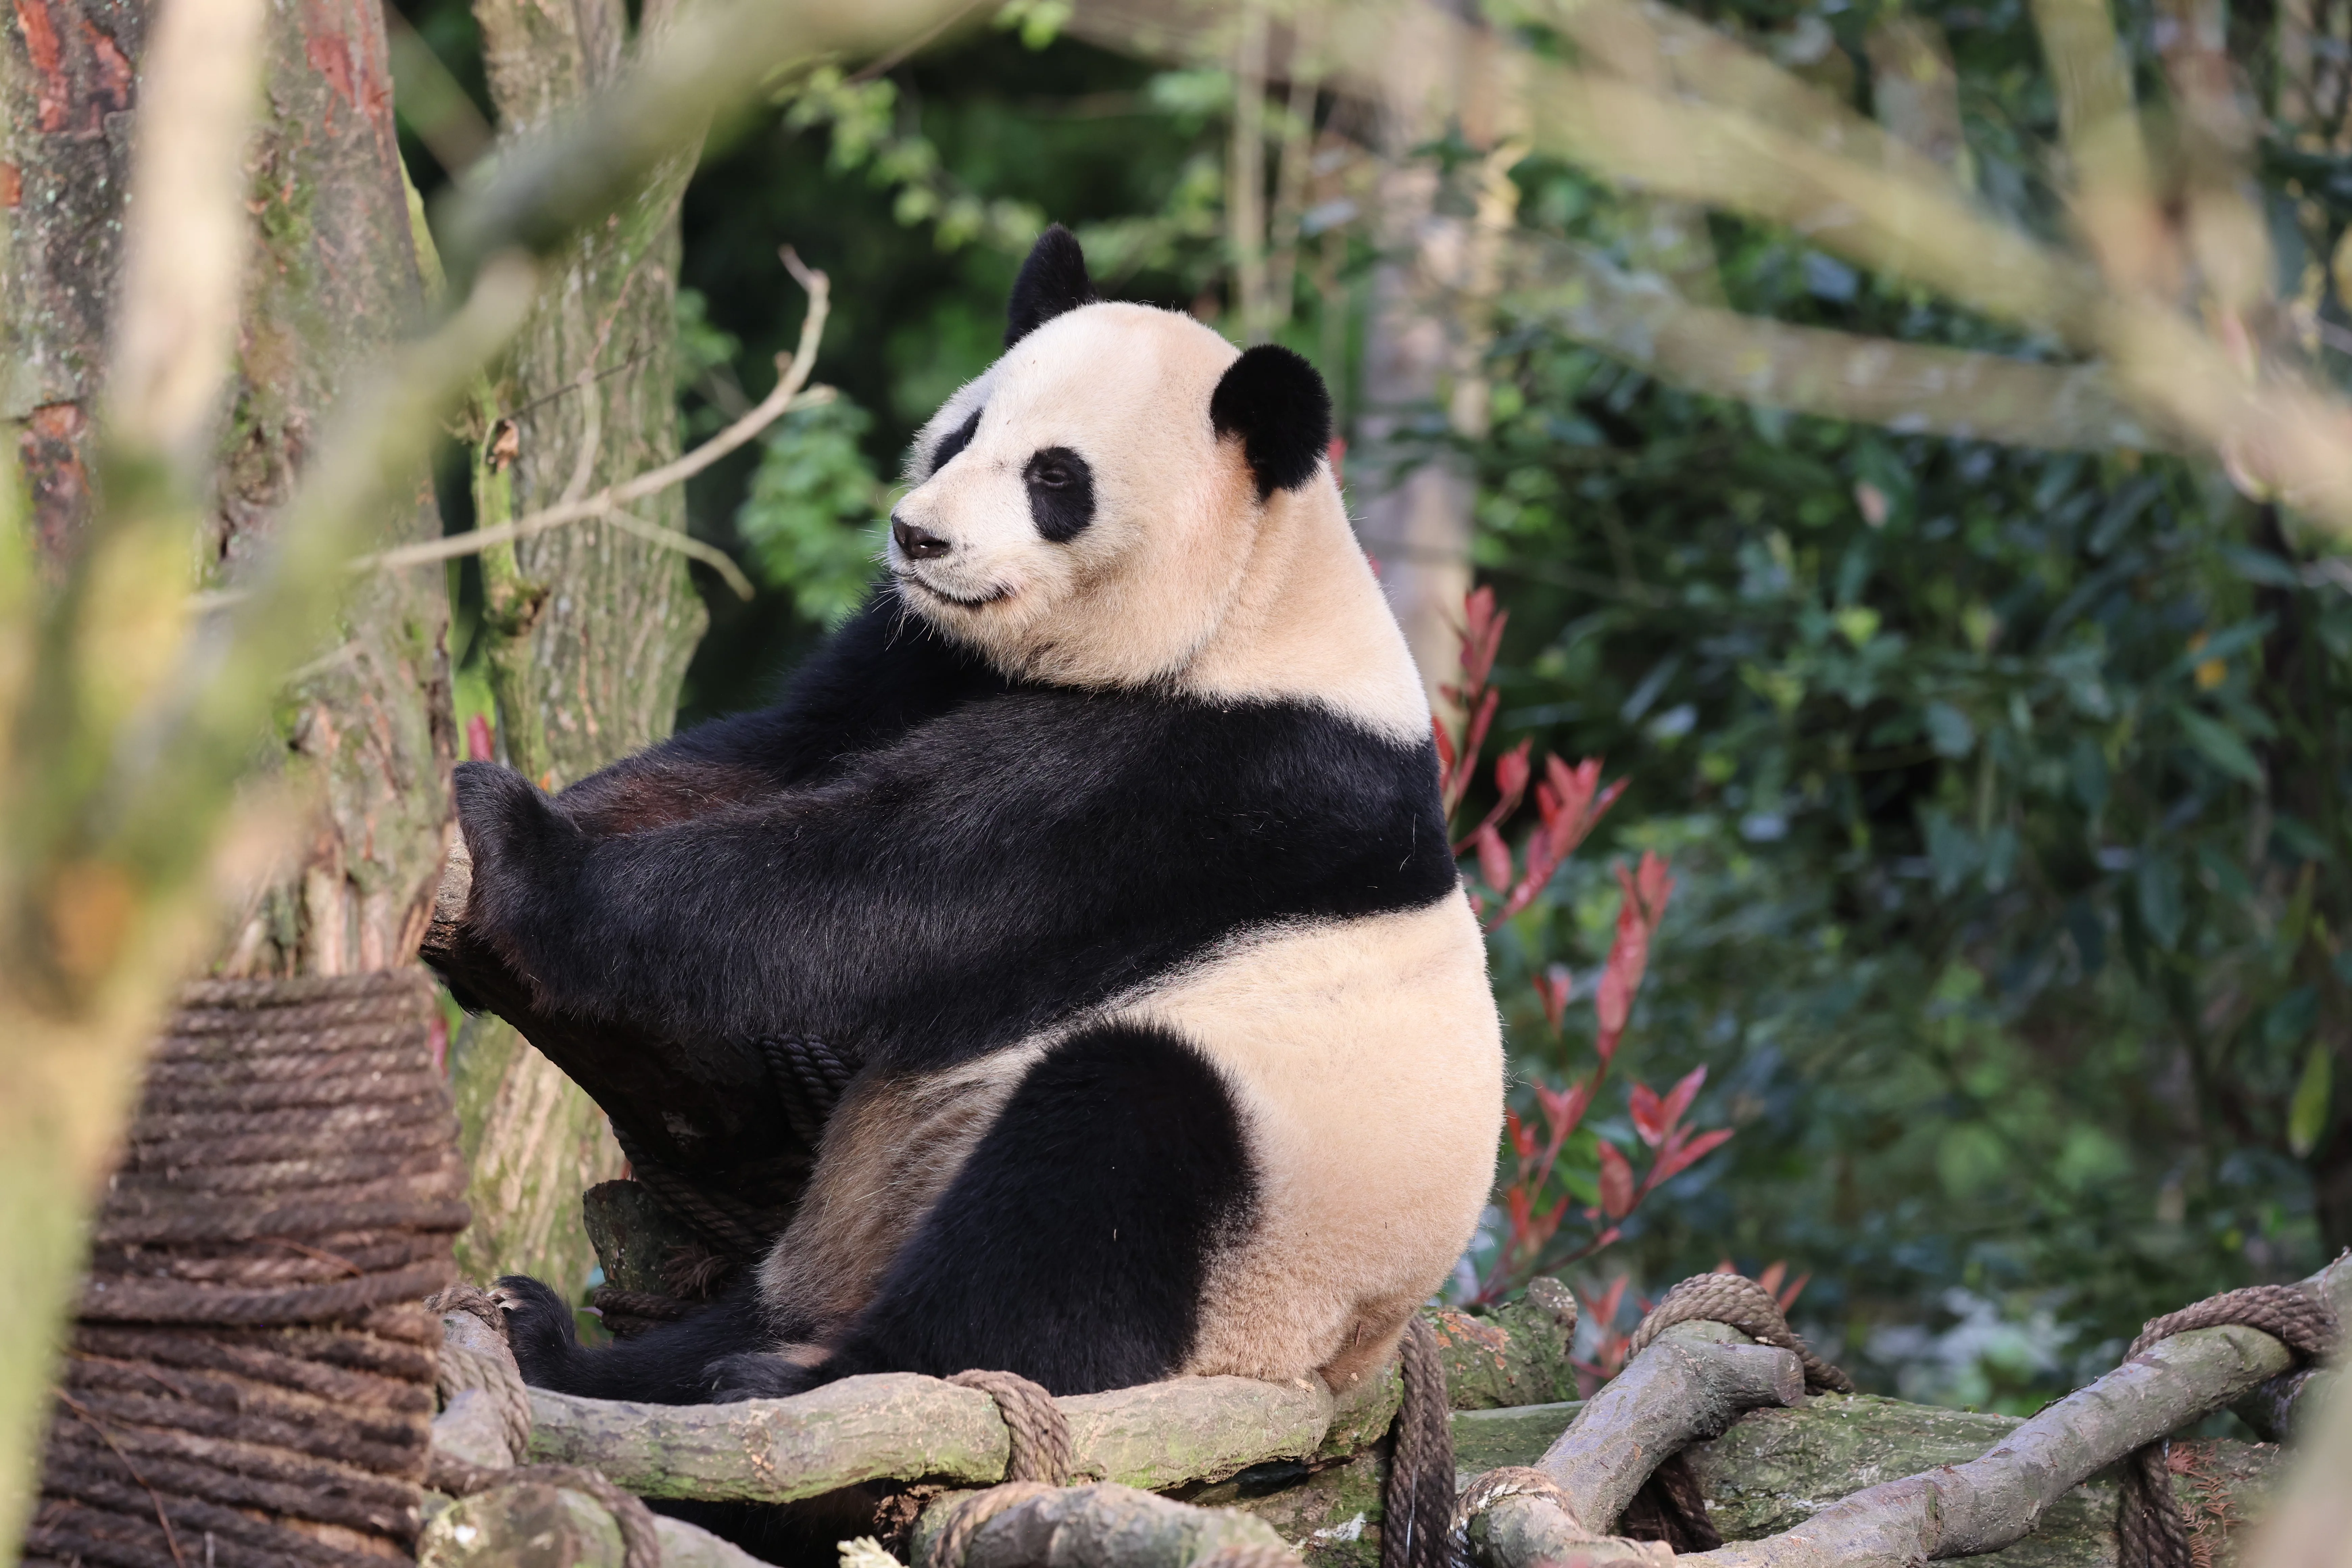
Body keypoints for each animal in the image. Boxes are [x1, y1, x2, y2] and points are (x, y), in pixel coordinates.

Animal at [441, 226, 1503, 1424]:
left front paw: (523, 857)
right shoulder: (925, 658)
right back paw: (564, 1341)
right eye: (961, 432)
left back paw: (810, 1372)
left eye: (1055, 478)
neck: (1250, 608)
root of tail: (1340, 1370)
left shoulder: (1225, 779)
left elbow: (884, 891)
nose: (918, 539)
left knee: (1098, 1176)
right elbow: (768, 759)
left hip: (1270, 1226)